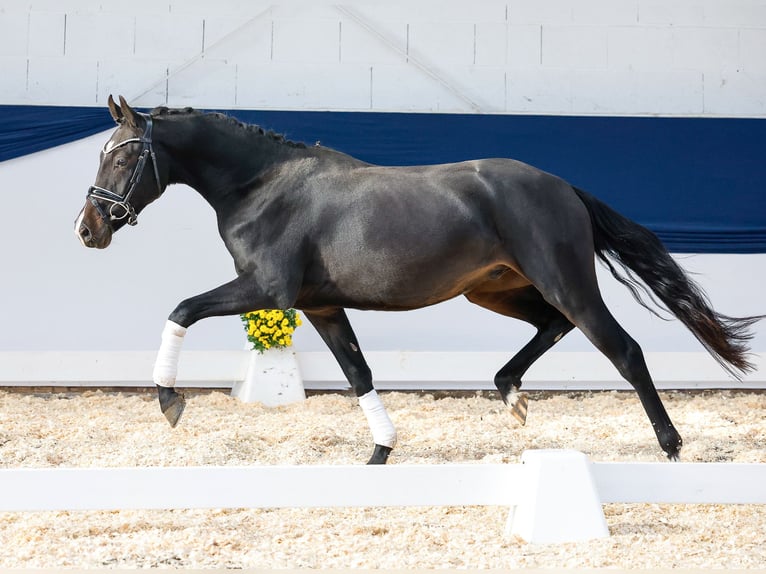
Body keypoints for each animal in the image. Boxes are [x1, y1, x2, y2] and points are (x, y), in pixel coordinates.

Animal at [76, 97, 760, 466]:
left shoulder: (268, 292)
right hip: (495, 289)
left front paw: (169, 402)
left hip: (564, 283)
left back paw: (671, 446)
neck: (261, 187)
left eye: (124, 153)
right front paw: (381, 451)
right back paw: (512, 397)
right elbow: (358, 375)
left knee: (623, 349)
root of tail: (561, 185)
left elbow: (181, 309)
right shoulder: (319, 307)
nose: (89, 228)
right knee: (551, 327)